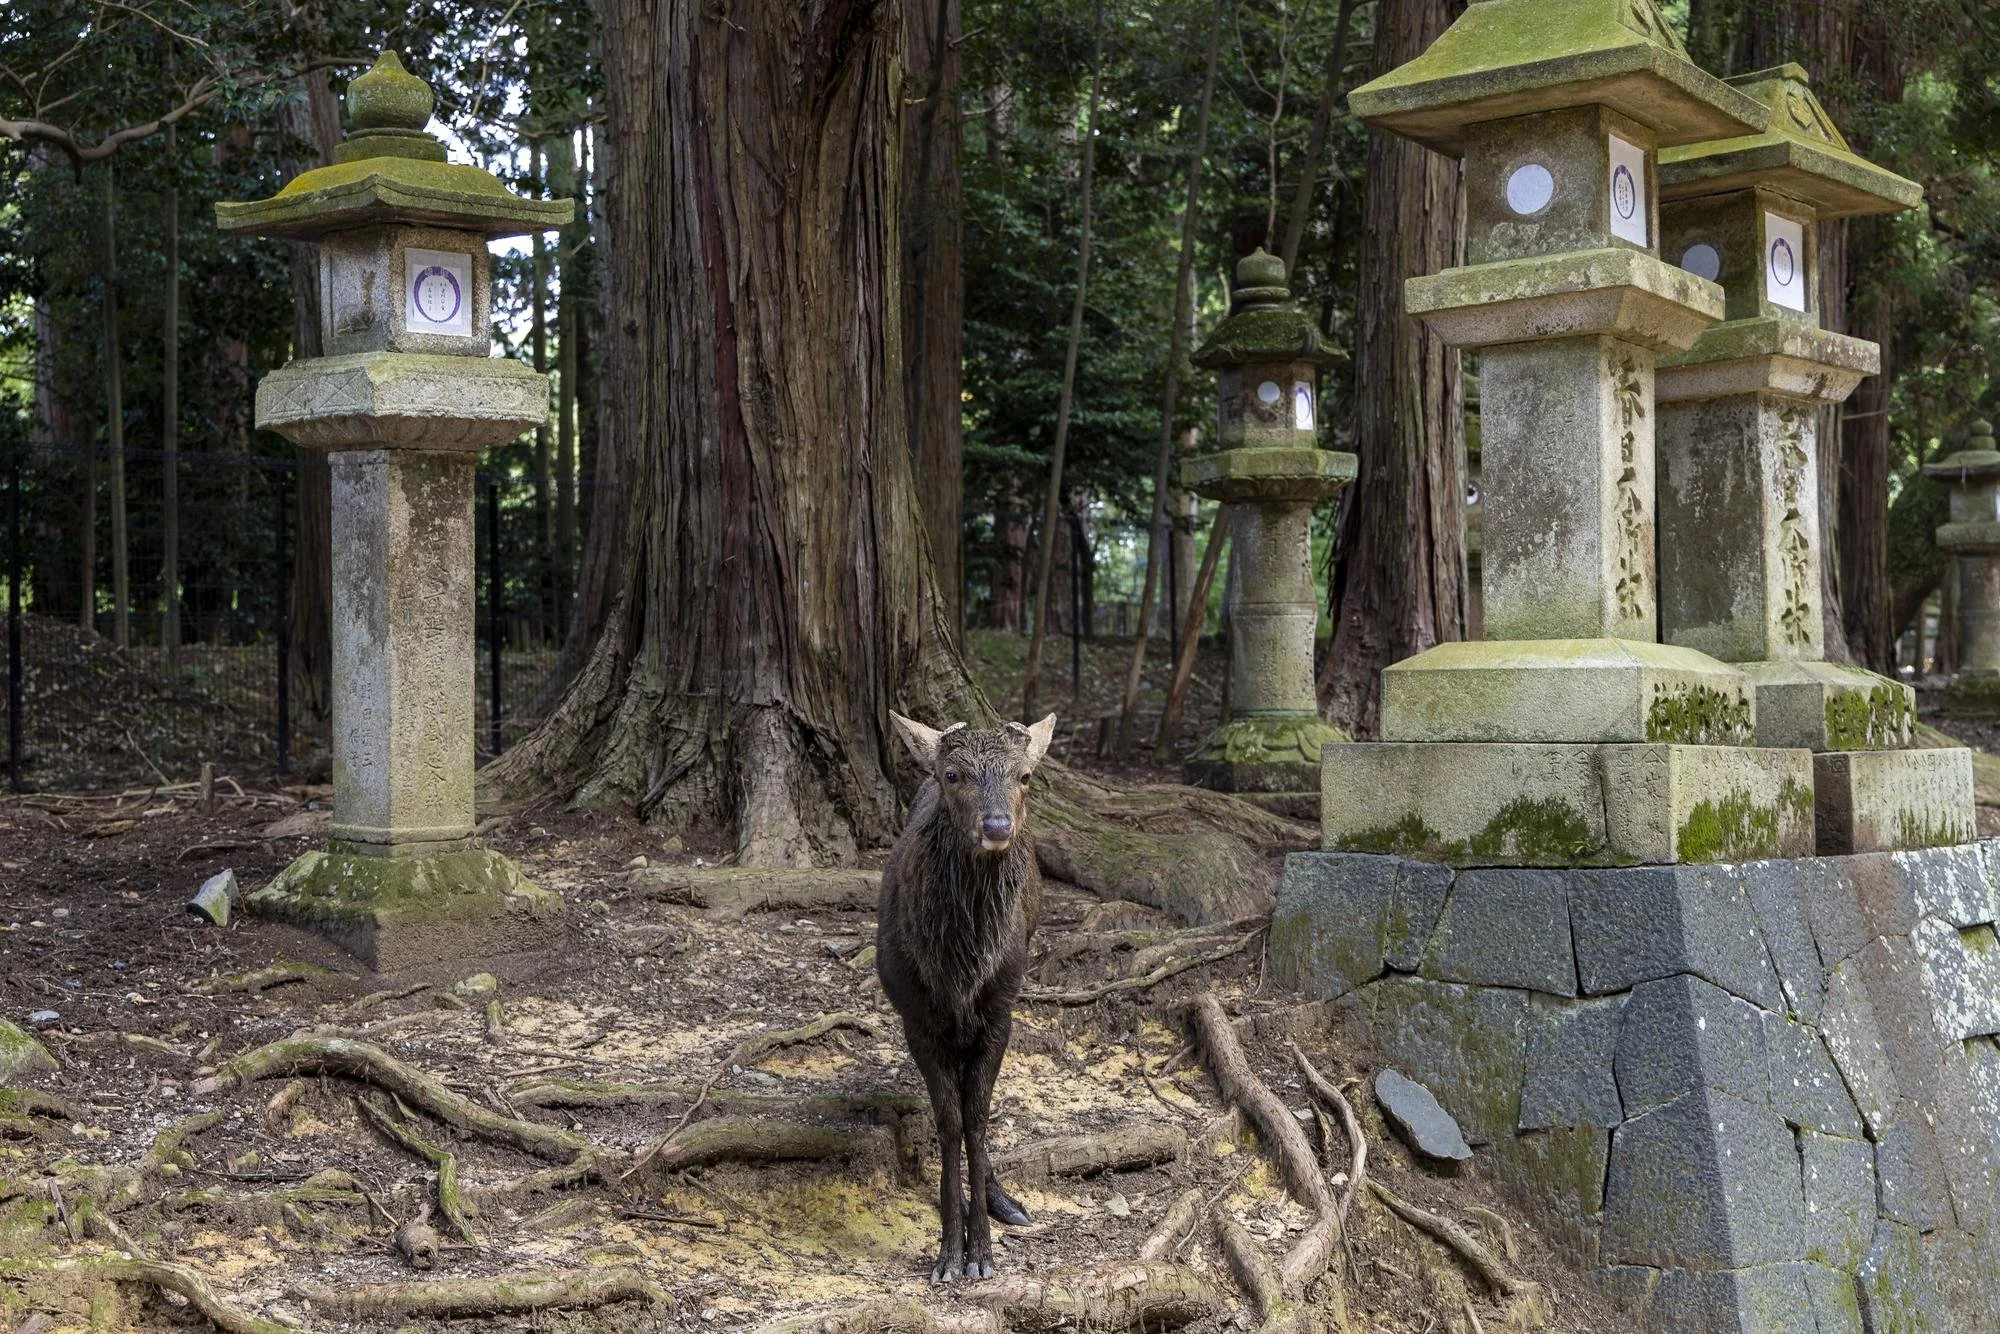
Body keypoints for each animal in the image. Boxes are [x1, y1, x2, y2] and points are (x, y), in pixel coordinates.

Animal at [877, 710, 1056, 1284]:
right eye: (953, 775)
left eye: (1024, 776)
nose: (997, 827)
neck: (960, 970)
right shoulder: (916, 1017)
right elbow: (949, 1118)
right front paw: (949, 1253)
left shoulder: (1000, 1011)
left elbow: (977, 1115)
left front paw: (982, 1251)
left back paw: (1005, 1203)